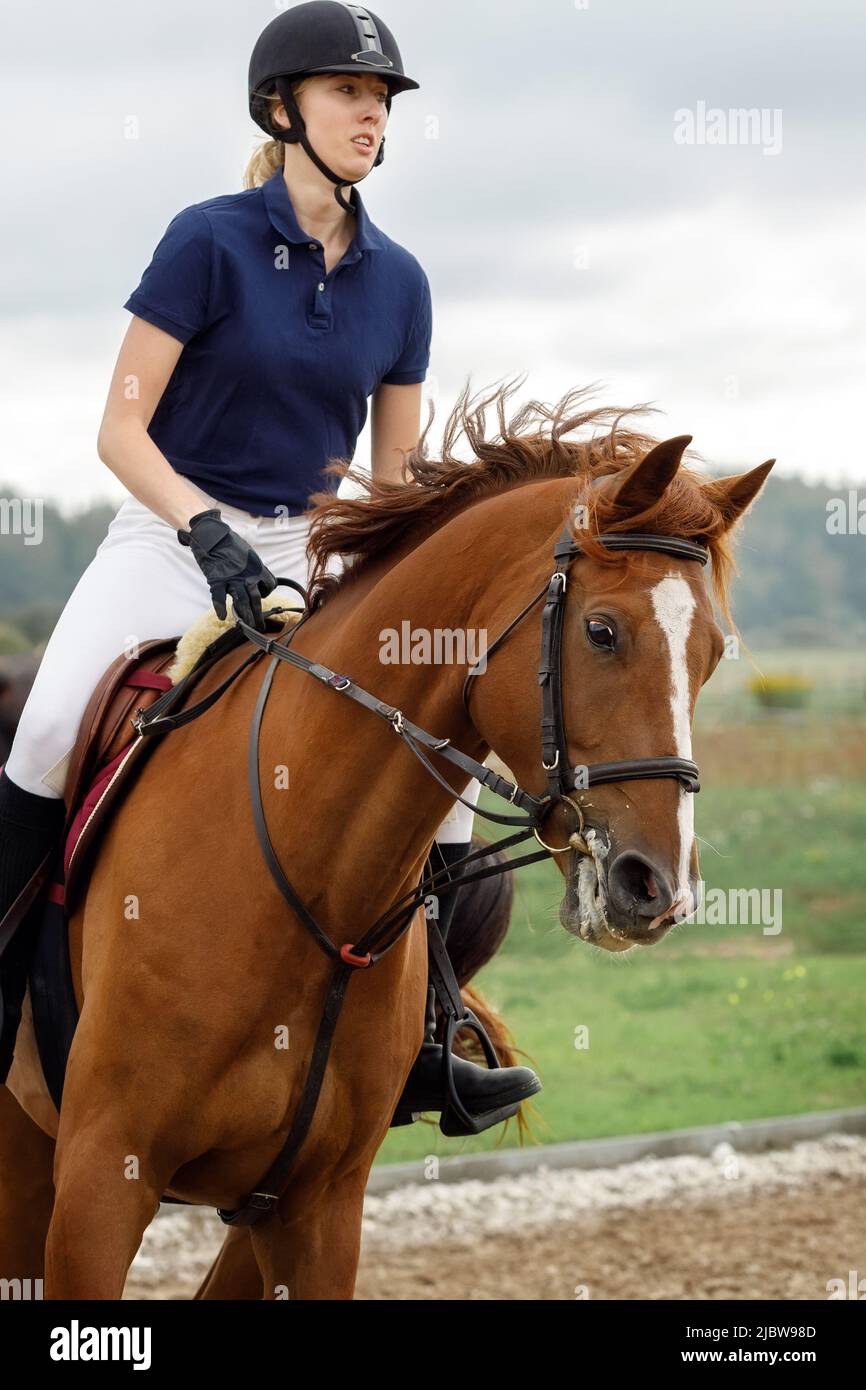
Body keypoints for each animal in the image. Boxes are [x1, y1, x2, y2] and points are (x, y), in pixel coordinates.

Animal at [0, 380, 772, 1289]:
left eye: (713, 653)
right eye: (603, 631)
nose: (657, 889)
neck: (302, 880)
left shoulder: (315, 1205)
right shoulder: (102, 1178)